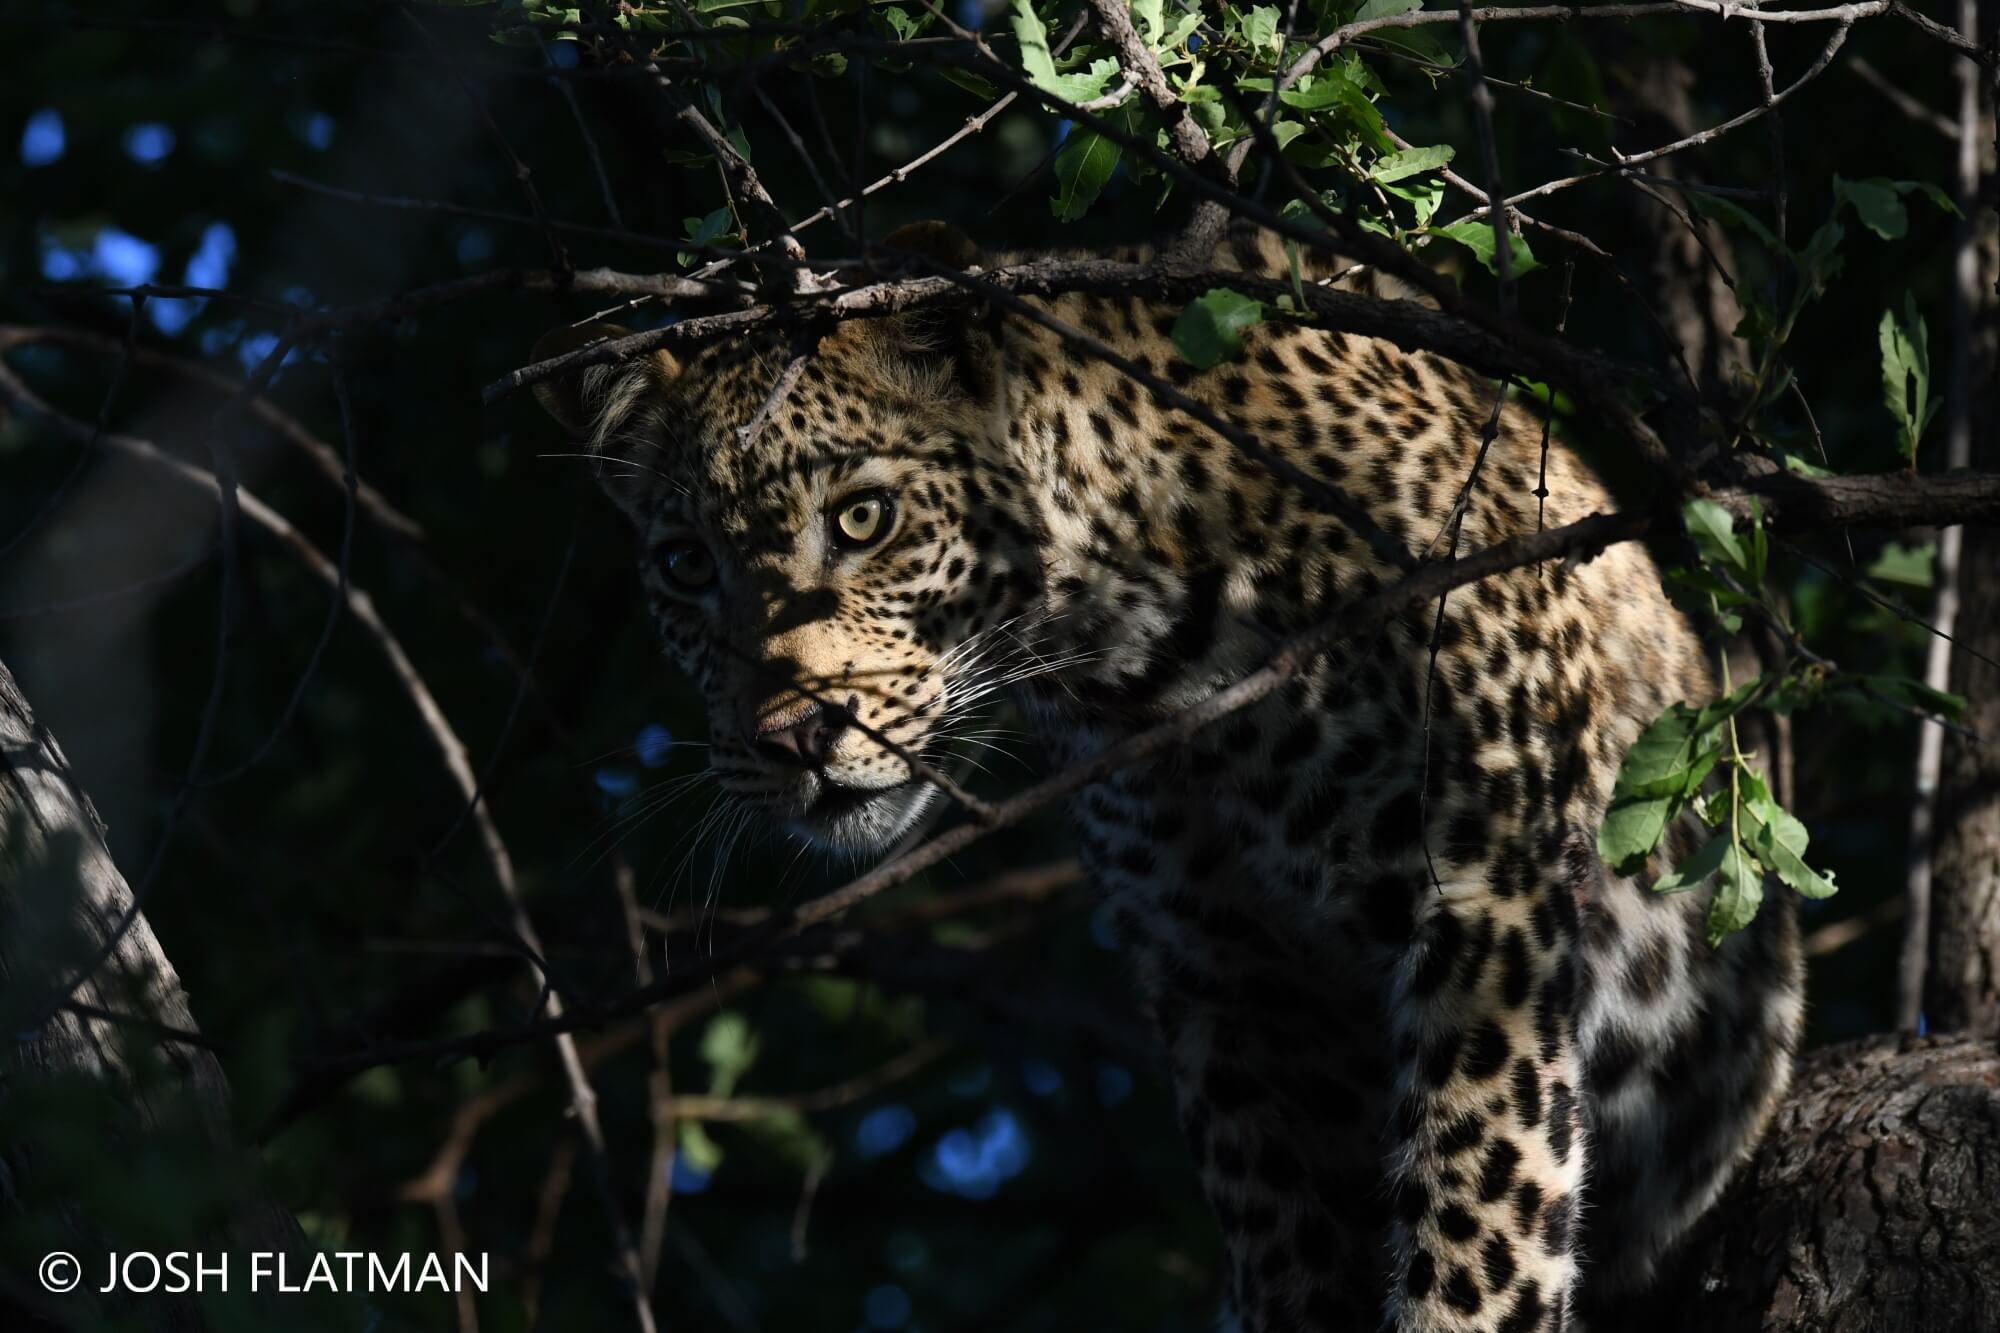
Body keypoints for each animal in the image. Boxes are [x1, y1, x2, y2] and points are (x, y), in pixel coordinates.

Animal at [528, 226, 1800, 1328]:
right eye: (685, 567)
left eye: (861, 517)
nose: (791, 734)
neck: (1145, 657)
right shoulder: (1224, 979)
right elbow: (1287, 1239)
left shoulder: (1486, 901)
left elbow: (1478, 1215)